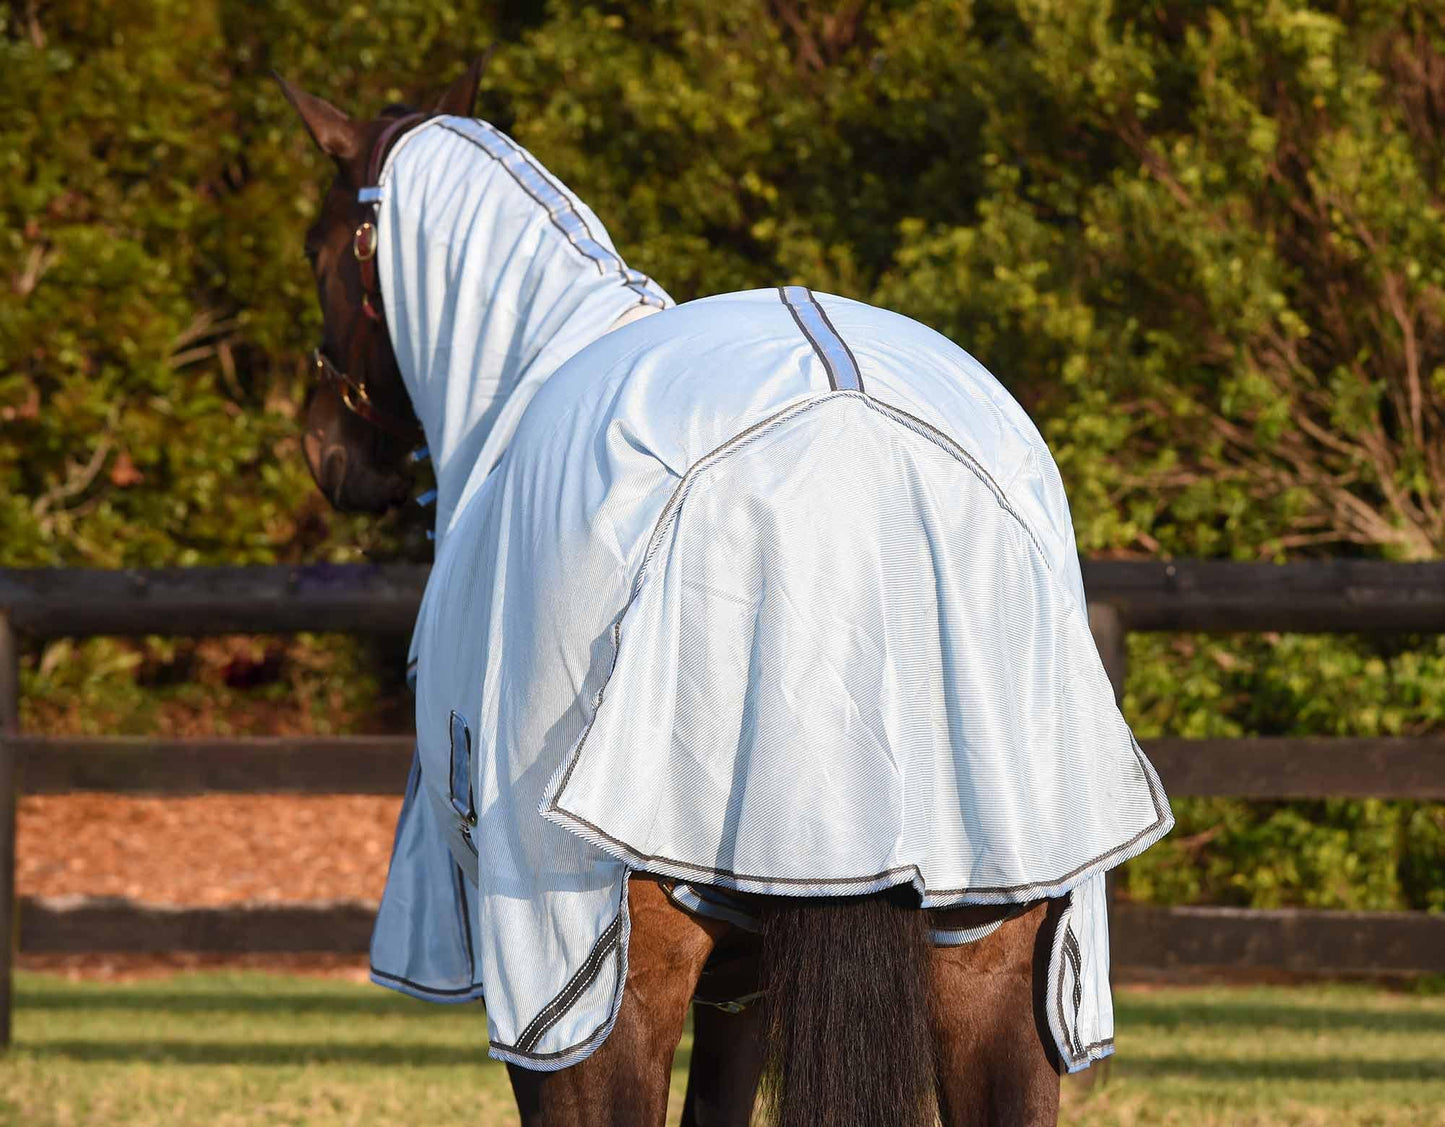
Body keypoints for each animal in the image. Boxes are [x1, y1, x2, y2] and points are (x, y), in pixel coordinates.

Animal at [278, 59, 1172, 1127]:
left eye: (318, 246)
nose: (326, 450)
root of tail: (852, 444)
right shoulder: (749, 983)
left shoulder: (556, 999)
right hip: (998, 965)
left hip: (598, 990)